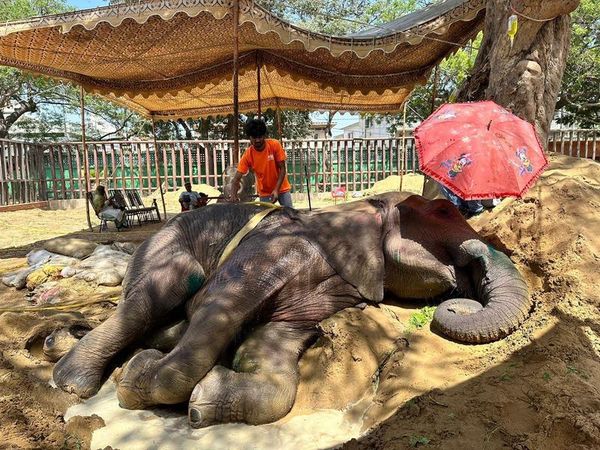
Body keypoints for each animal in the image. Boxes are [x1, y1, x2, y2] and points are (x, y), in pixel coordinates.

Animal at [52, 192, 528, 428]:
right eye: (445, 209)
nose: (461, 297)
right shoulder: (272, 249)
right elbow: (217, 307)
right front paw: (137, 378)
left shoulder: (328, 294)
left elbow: (270, 346)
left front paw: (204, 403)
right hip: (164, 246)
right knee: (154, 296)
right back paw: (73, 380)